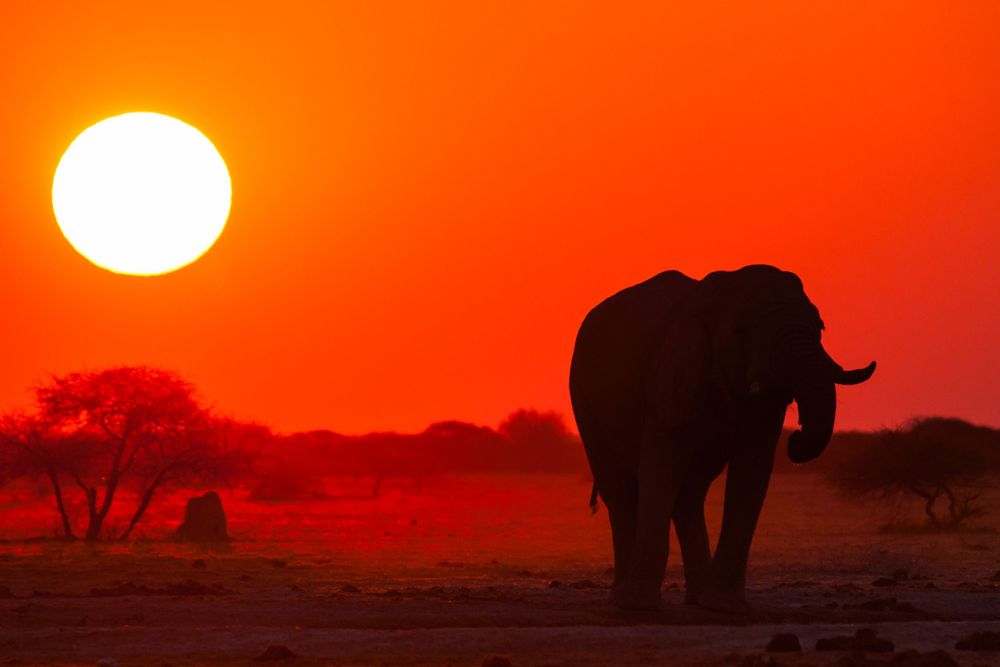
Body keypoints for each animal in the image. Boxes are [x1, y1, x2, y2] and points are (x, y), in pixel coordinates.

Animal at [568, 265, 875, 613]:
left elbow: (753, 469)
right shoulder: (671, 375)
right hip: (583, 400)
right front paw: (640, 607)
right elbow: (661, 466)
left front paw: (724, 606)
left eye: (820, 326)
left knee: (689, 494)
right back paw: (624, 601)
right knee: (620, 494)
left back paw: (698, 601)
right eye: (741, 330)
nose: (795, 438)